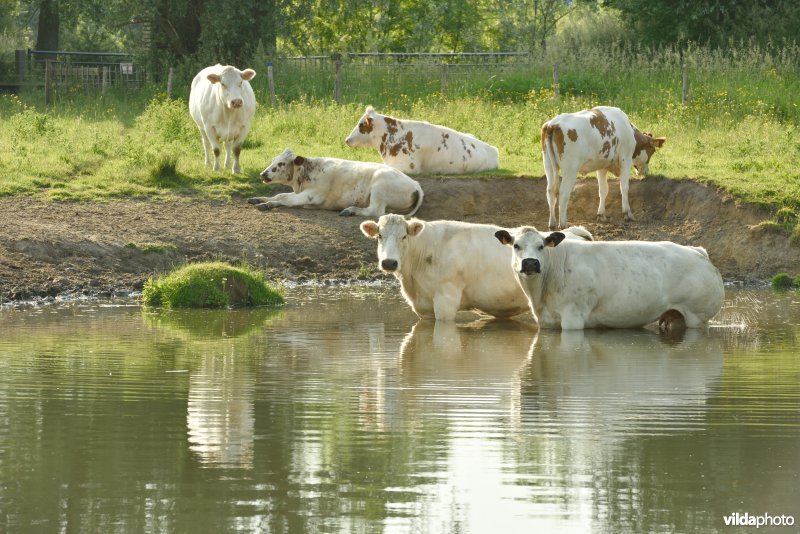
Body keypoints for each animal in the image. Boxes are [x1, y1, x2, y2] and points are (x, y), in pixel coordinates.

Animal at [248, 149, 424, 218]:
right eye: (273, 160)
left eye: (282, 163)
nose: (263, 174)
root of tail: (416, 184)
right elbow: (280, 195)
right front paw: (258, 199)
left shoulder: (313, 196)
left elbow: (285, 199)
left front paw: (268, 204)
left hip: (379, 187)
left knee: (376, 211)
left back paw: (351, 210)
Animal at [360, 215, 592, 322]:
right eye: (379, 235)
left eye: (404, 236)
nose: (389, 262)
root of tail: (573, 232)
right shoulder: (423, 309)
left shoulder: (446, 300)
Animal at [494, 226, 724, 330]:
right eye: (516, 246)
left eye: (541, 246)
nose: (530, 263)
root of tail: (698, 252)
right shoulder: (547, 322)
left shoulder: (573, 317)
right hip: (673, 315)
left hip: (697, 316)